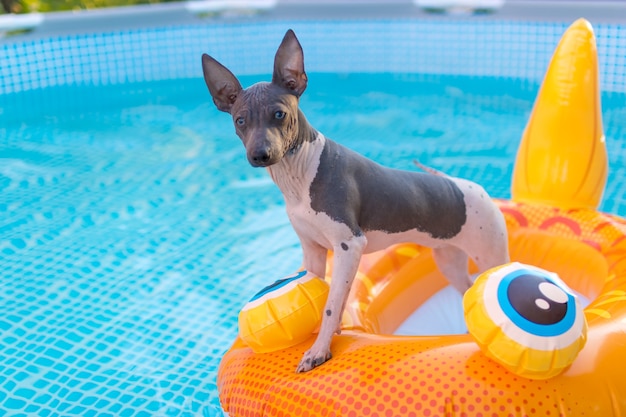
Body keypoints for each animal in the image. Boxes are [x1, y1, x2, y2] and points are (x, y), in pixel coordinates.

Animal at [202, 30, 510, 374]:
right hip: (449, 260)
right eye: (240, 121)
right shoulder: (313, 251)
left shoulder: (350, 245)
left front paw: (319, 351)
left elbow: (331, 305)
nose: (260, 155)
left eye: (279, 114)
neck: (300, 174)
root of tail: (470, 186)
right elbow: (327, 298)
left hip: (491, 255)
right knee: (466, 286)